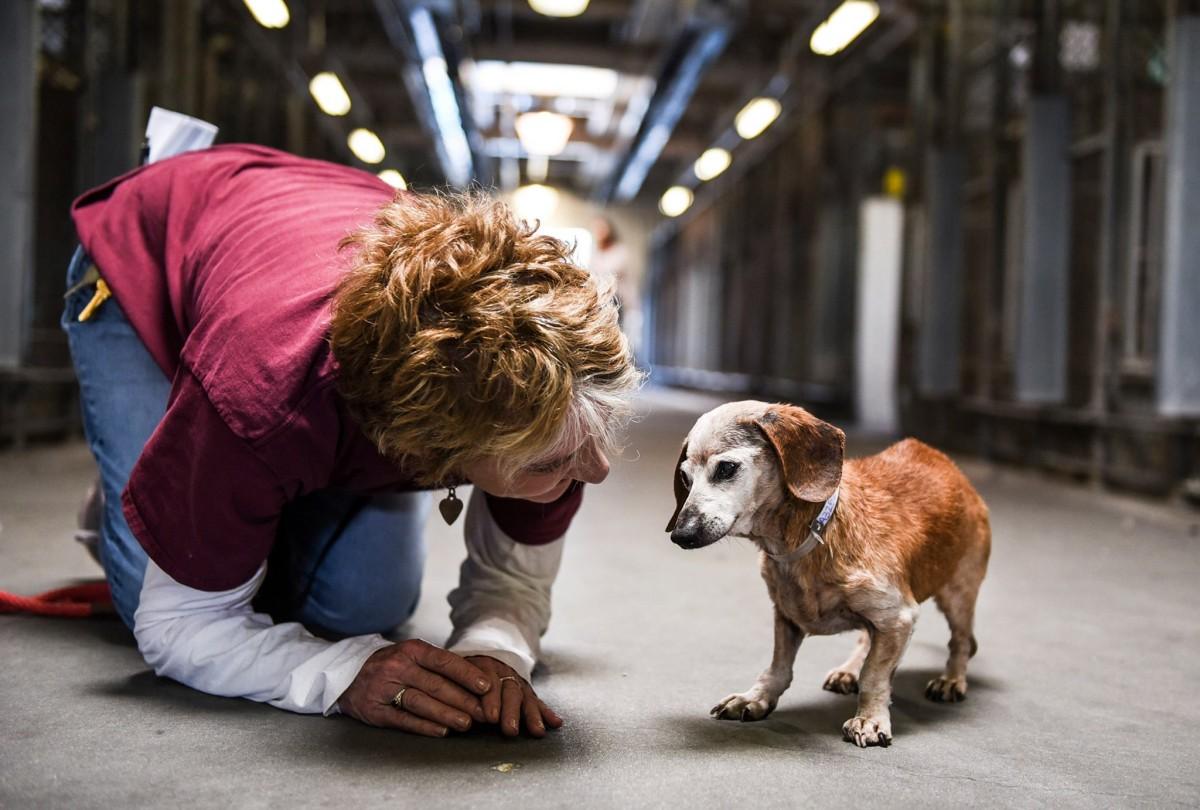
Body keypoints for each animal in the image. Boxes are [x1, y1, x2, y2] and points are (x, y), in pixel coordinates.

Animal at [667, 400, 993, 748]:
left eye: (726, 469)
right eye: (685, 478)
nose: (680, 535)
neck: (808, 539)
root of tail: (949, 465)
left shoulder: (899, 617)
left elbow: (874, 675)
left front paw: (870, 719)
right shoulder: (786, 617)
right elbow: (779, 667)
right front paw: (755, 698)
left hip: (958, 595)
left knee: (962, 641)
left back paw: (951, 680)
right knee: (866, 639)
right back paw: (848, 671)